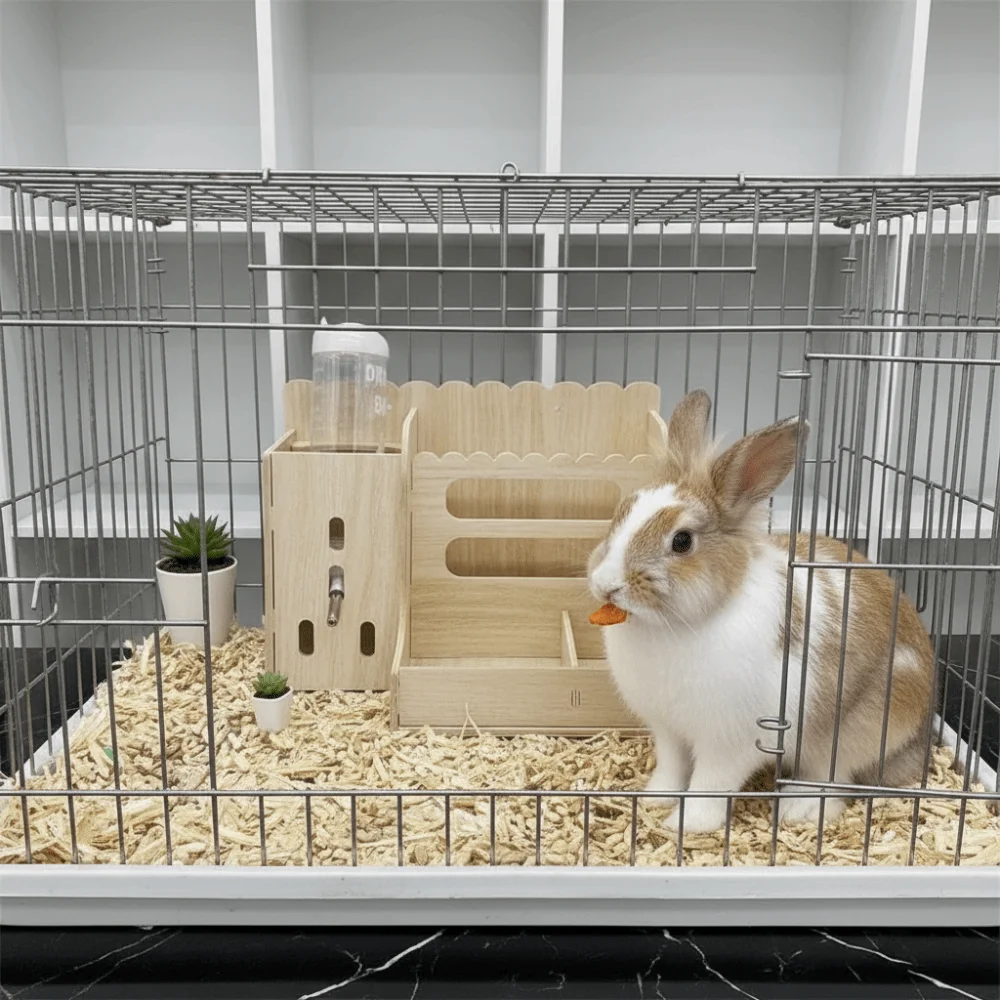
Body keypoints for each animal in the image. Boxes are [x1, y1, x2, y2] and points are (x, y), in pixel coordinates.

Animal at [587, 389, 934, 833]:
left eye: (682, 541)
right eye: (622, 512)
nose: (606, 583)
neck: (675, 625)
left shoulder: (731, 740)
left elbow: (710, 782)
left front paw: (687, 824)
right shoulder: (668, 729)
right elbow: (672, 767)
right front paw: (655, 800)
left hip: (858, 730)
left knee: (836, 780)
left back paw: (799, 808)